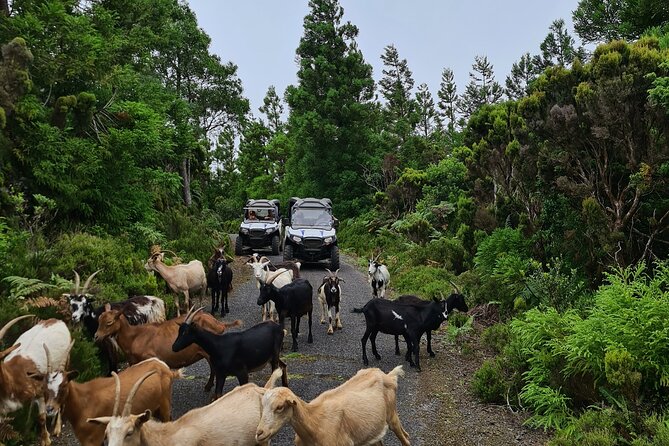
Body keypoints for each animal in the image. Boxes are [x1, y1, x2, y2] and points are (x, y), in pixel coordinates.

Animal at [0, 316, 72, 444]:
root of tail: (57, 320)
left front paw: (46, 440)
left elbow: (41, 417)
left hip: (66, 361)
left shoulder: (40, 391)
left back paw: (57, 428)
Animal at [44, 358, 180, 446]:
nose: (49, 409)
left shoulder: (93, 440)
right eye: (45, 386)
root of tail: (163, 366)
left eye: (64, 385)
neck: (84, 401)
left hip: (165, 405)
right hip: (156, 409)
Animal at [94, 306, 240, 394]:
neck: (134, 337)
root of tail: (218, 323)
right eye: (99, 320)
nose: (96, 336)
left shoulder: (150, 358)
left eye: (109, 322)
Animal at [256, 366, 410, 446]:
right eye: (262, 405)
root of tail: (387, 375)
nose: (259, 433)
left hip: (392, 416)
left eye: (280, 407)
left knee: (406, 440)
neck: (315, 421)